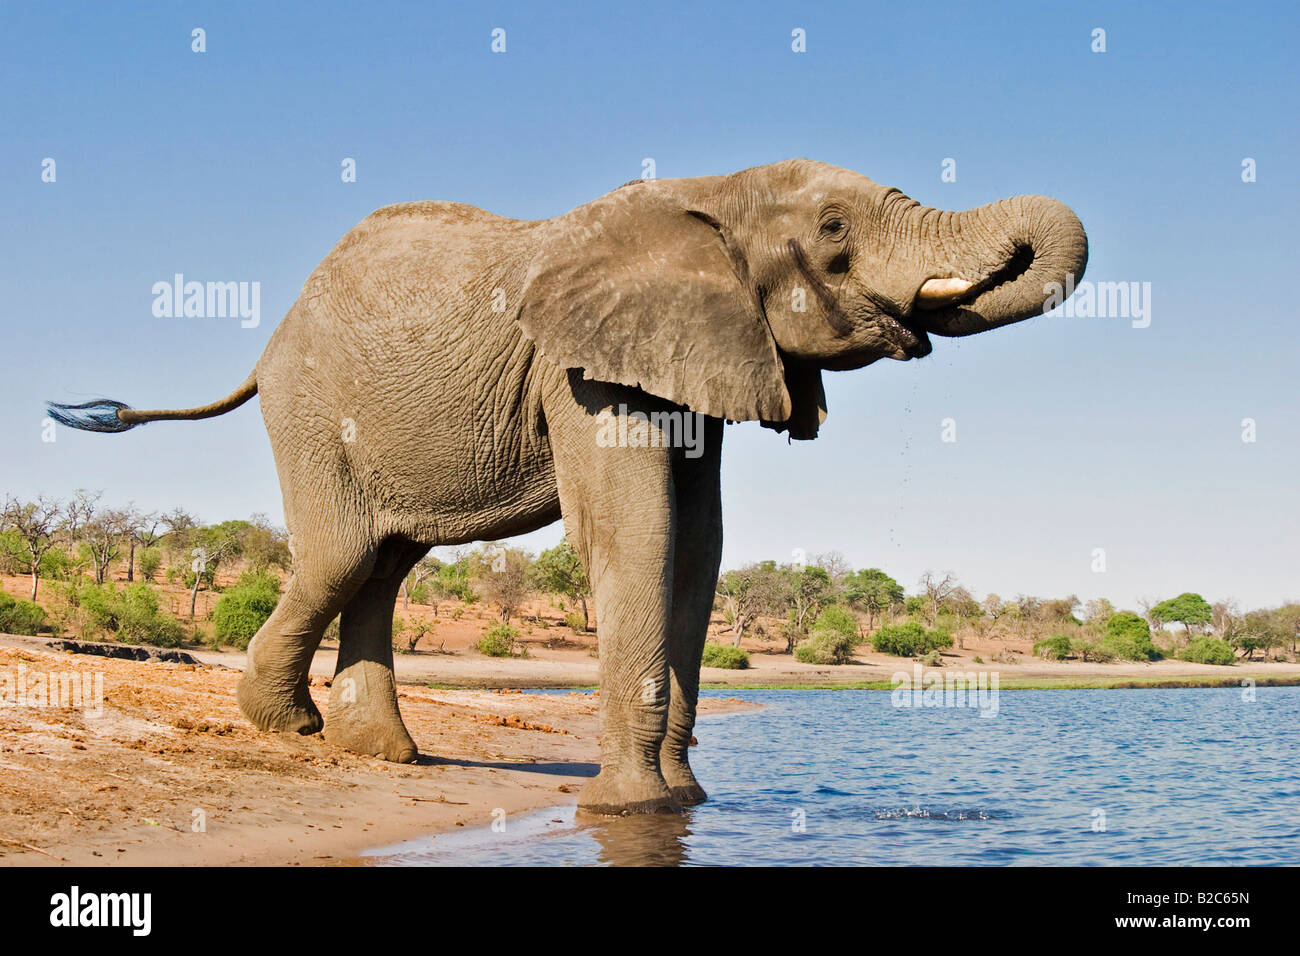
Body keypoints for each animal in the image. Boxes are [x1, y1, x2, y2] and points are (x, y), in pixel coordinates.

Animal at [48, 158, 1086, 816]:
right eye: (833, 231)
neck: (708, 192)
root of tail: (269, 343)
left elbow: (697, 550)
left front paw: (687, 802)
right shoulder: (582, 371)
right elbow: (638, 533)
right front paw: (631, 810)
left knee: (383, 564)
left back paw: (377, 754)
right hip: (314, 414)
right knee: (345, 555)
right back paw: (287, 727)